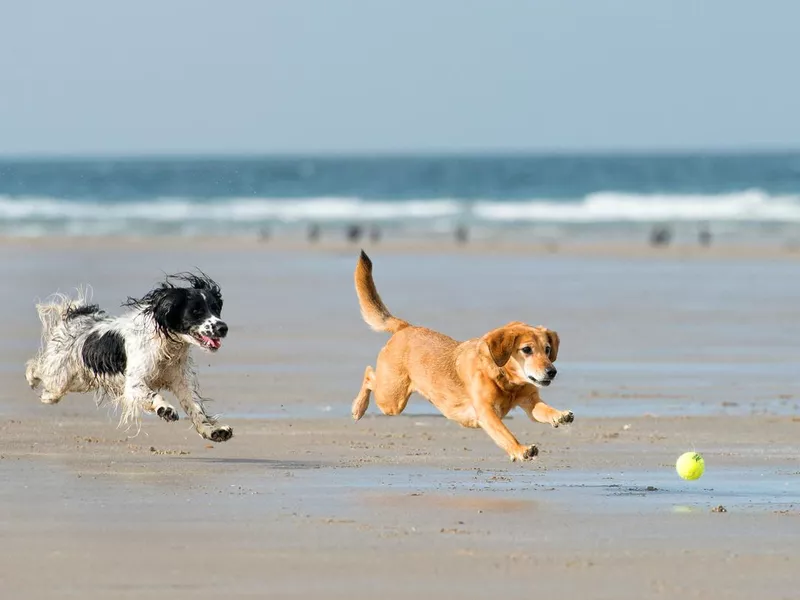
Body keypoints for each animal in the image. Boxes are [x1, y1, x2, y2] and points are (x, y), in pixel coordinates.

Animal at [22, 272, 234, 440]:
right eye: (196, 311)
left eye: (216, 308)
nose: (223, 328)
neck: (167, 347)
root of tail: (76, 315)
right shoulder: (133, 383)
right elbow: (152, 394)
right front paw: (165, 408)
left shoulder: (180, 382)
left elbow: (195, 409)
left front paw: (213, 431)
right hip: (58, 379)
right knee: (37, 370)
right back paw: (31, 378)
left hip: (79, 380)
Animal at [354, 251, 572, 462]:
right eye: (526, 350)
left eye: (547, 349)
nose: (552, 372)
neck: (506, 381)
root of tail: (405, 327)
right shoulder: (487, 412)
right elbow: (505, 434)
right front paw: (520, 450)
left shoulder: (530, 402)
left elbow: (544, 410)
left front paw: (560, 415)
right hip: (391, 399)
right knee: (369, 374)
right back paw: (358, 407)